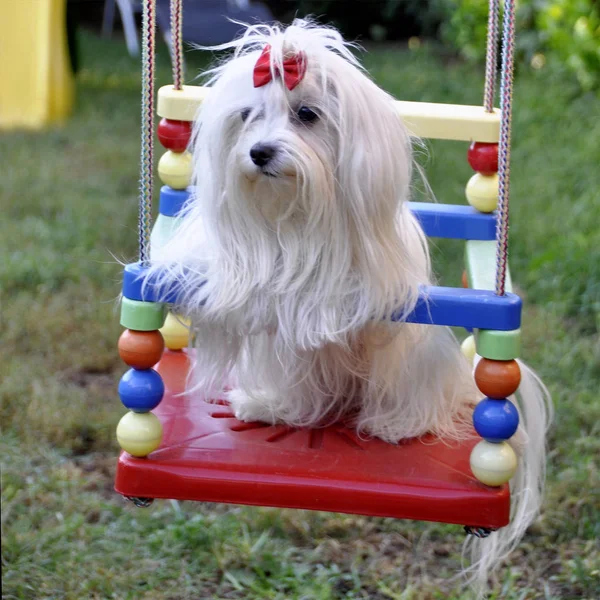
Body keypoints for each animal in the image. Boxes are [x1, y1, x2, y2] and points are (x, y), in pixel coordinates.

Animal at [151, 18, 552, 592]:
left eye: (307, 115)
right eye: (247, 117)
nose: (259, 153)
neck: (297, 218)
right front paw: (273, 404)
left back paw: (397, 421)